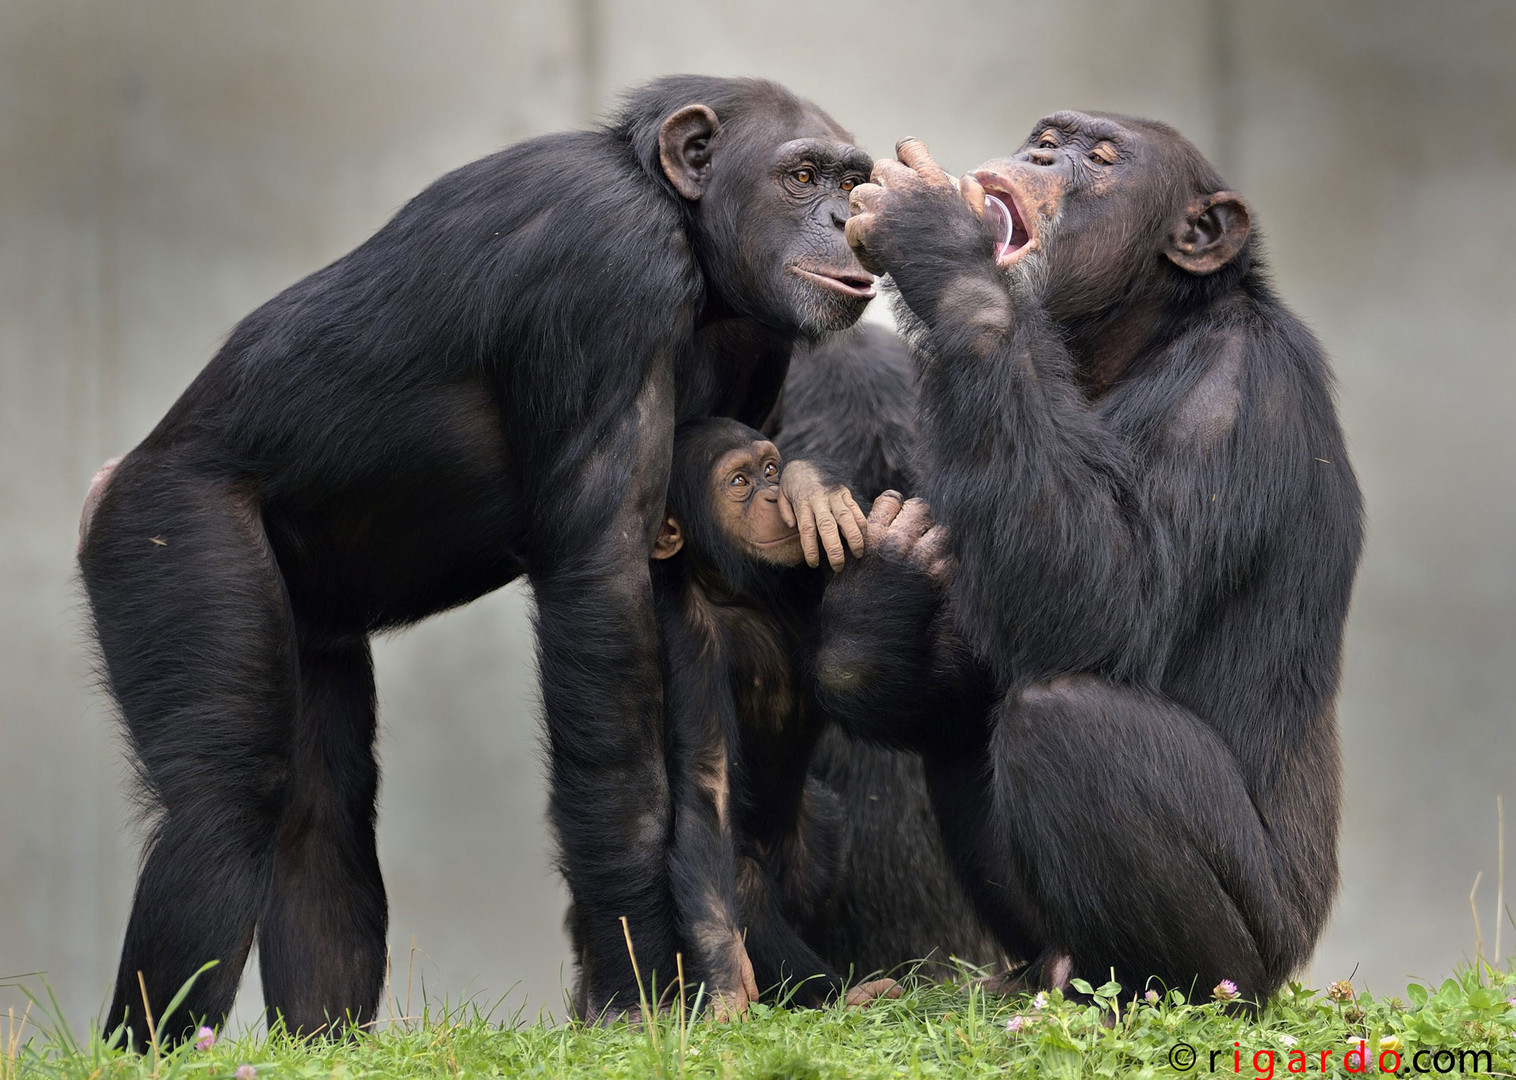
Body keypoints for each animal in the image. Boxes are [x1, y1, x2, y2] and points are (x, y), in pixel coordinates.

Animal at [648, 418, 897, 1019]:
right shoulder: (686, 642)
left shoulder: (803, 571)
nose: (769, 494)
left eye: (767, 468)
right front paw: (723, 980)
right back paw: (843, 995)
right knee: (744, 881)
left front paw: (812, 490)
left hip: (815, 842)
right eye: (738, 482)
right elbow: (706, 783)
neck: (741, 593)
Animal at [824, 113, 1370, 1007]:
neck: (1139, 338)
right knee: (960, 728)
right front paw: (889, 578)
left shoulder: (1231, 400)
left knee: (1068, 722)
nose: (1042, 155)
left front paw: (938, 239)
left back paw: (1149, 993)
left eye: (1101, 155)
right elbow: (958, 674)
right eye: (1043, 137)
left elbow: (1107, 601)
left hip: (1262, 951)